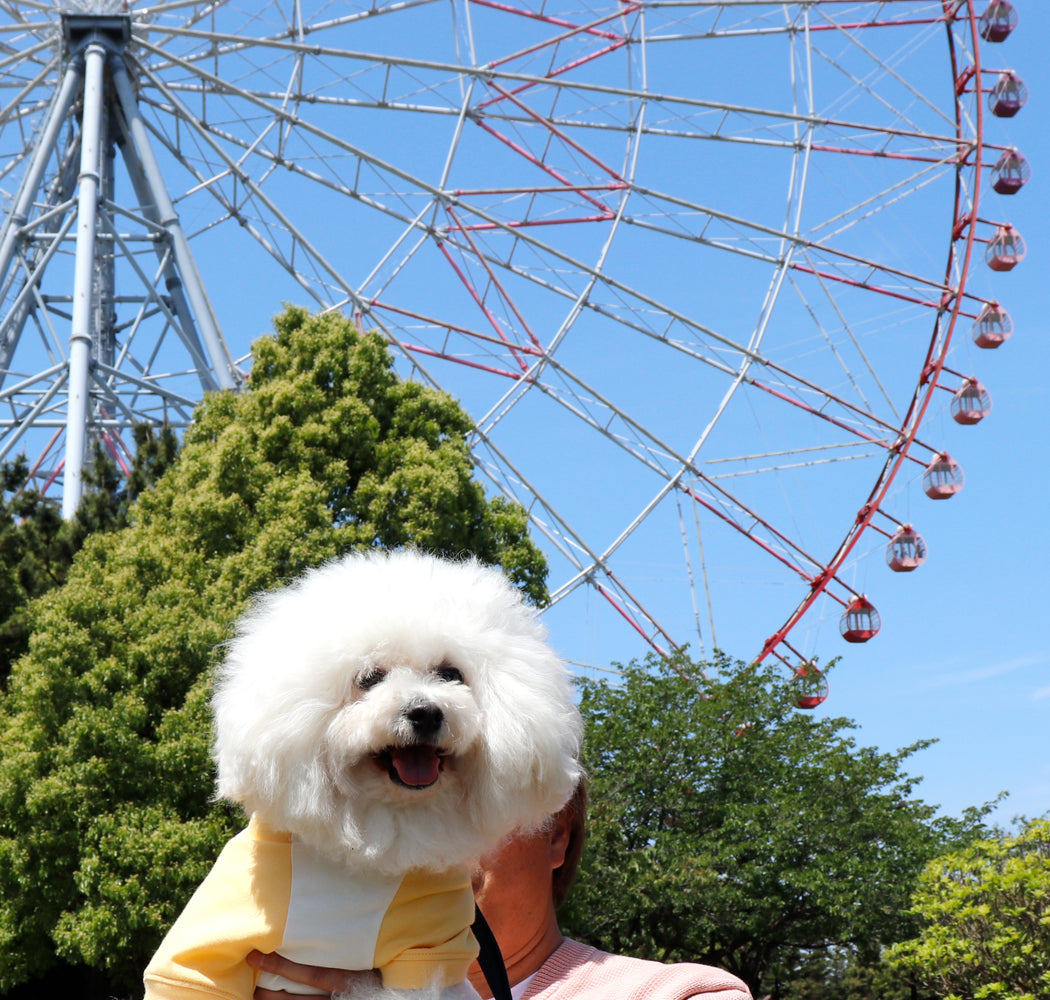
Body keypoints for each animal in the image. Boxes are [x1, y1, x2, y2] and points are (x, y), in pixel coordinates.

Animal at [142, 550, 583, 1000]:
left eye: (451, 674)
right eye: (368, 678)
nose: (426, 712)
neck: (371, 842)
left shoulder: (428, 952)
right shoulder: (200, 958)